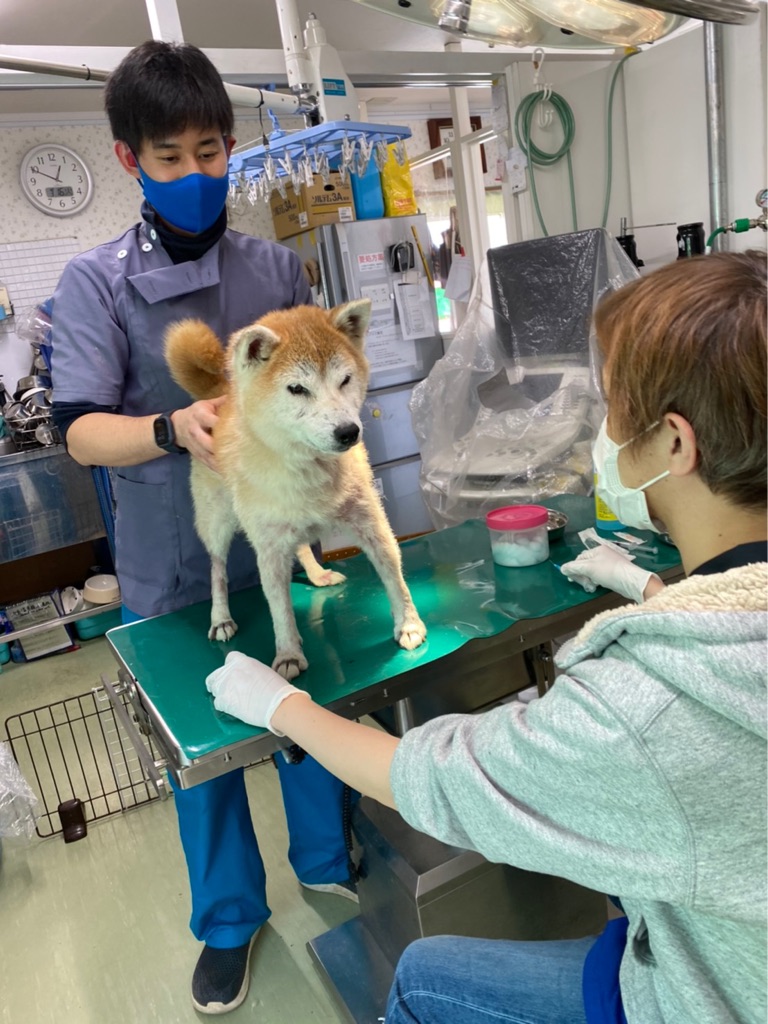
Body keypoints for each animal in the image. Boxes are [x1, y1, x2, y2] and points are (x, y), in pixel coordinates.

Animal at [164, 299, 427, 680]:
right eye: (297, 389)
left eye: (345, 380)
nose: (348, 432)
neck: (307, 466)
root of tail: (223, 396)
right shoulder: (269, 549)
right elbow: (280, 610)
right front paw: (288, 654)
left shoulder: (371, 522)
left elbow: (394, 576)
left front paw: (408, 623)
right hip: (217, 524)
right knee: (217, 569)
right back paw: (221, 616)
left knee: (302, 546)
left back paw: (317, 574)